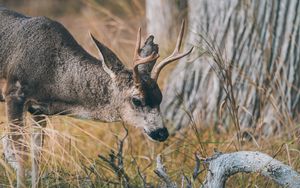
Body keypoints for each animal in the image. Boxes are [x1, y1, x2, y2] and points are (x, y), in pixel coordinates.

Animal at [0, 6, 192, 187]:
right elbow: (17, 151)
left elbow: (37, 154)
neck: (53, 75)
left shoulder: (38, 109)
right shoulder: (14, 92)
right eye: (136, 100)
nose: (162, 132)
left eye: (160, 97)